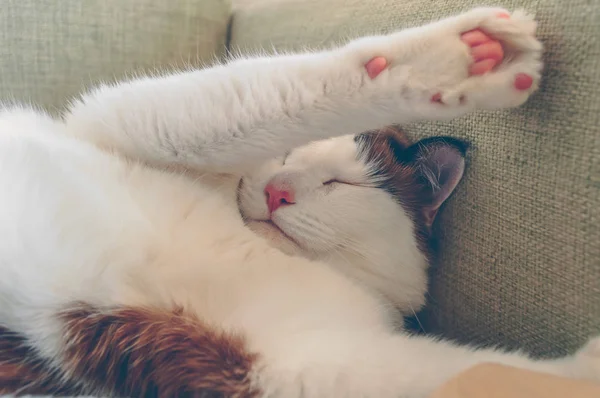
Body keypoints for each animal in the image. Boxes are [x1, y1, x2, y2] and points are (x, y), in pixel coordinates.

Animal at [0, 7, 596, 398]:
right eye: (283, 156)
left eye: (340, 184)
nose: (276, 191)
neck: (252, 250)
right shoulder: (117, 121)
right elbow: (281, 91)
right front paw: (454, 60)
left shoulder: (290, 362)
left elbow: (462, 368)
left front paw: (582, 366)